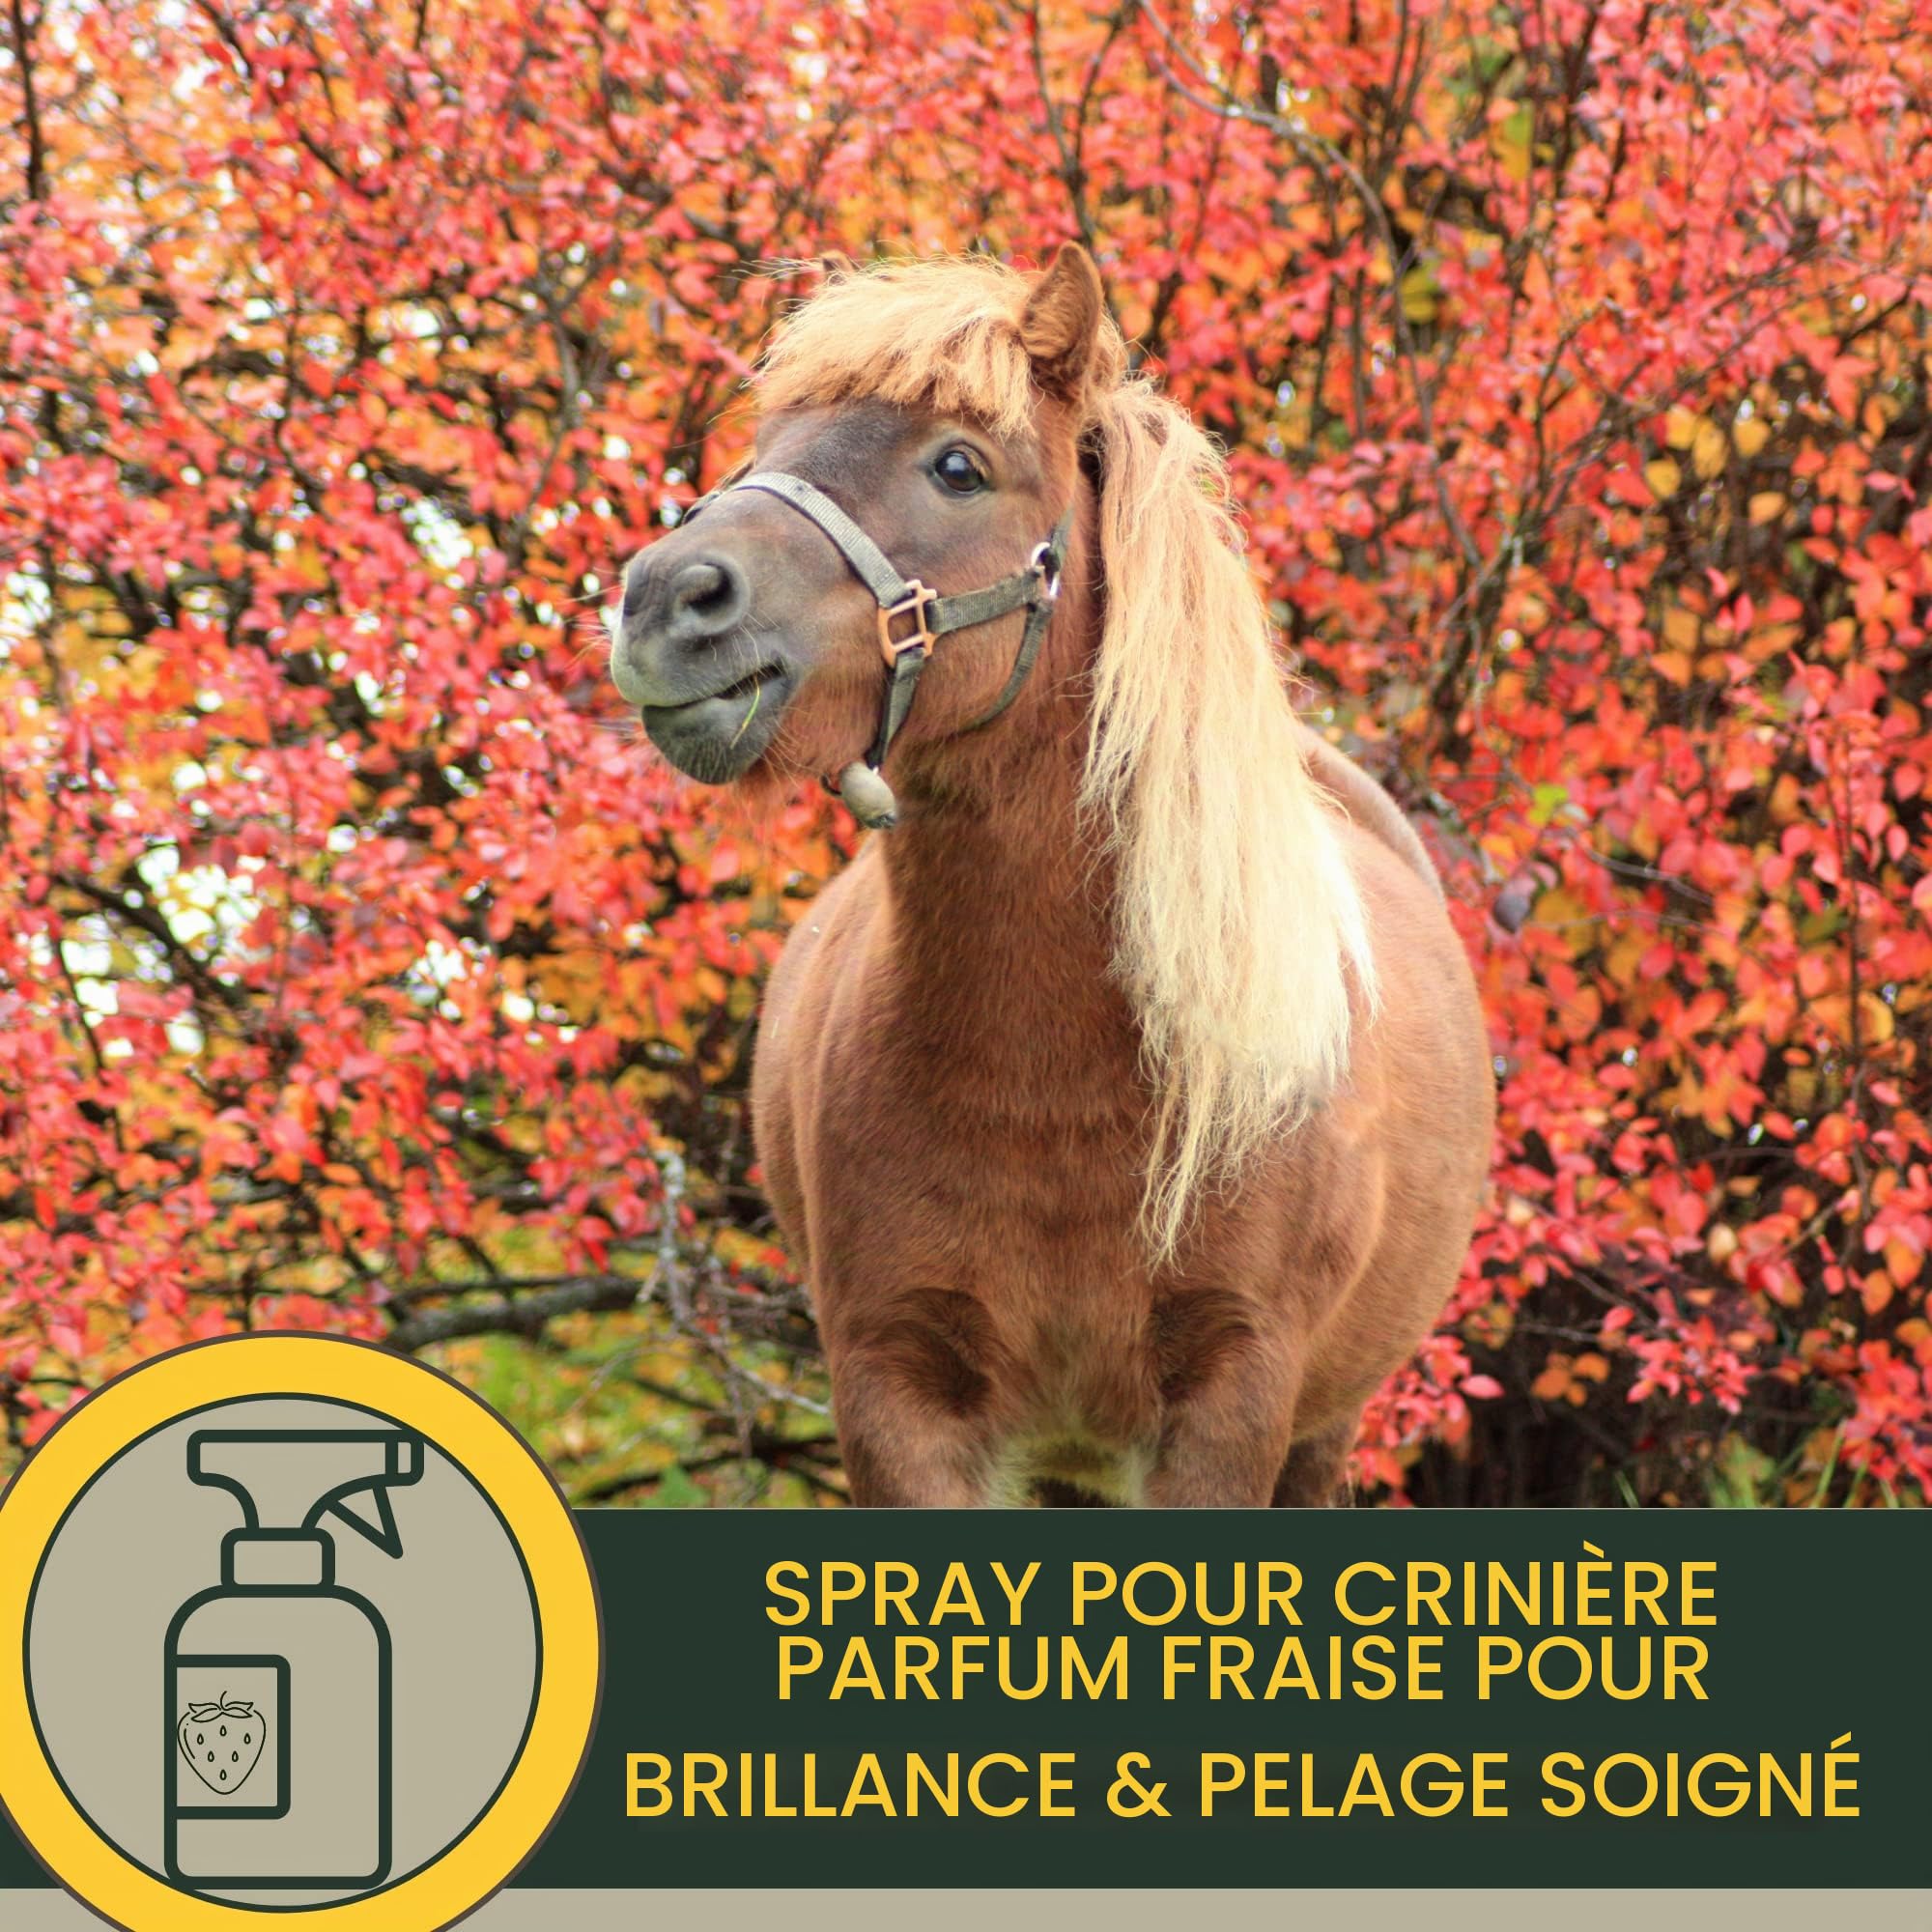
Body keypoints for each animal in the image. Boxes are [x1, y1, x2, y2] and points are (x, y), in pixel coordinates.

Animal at [607, 245, 1493, 1506]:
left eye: (958, 466)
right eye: (766, 441)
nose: (665, 600)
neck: (1056, 1077)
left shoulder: (1233, 1398)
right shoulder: (895, 1388)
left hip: (1323, 1427)